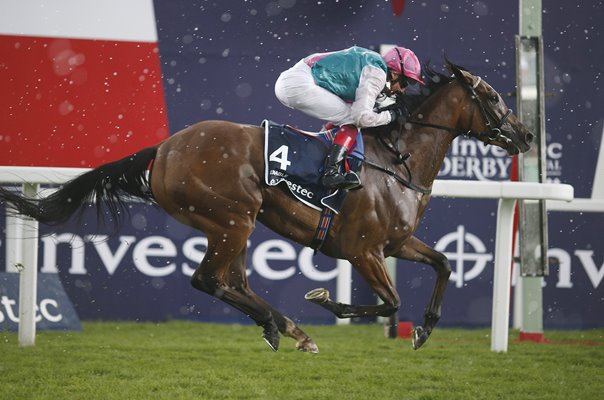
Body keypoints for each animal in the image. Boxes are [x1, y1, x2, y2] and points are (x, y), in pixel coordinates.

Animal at [0, 59, 532, 354]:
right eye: (491, 96)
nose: (526, 135)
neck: (396, 161)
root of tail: (165, 148)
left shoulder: (396, 243)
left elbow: (443, 263)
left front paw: (424, 329)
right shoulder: (363, 250)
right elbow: (390, 301)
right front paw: (327, 301)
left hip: (232, 222)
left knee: (230, 281)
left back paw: (285, 328)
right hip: (232, 217)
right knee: (208, 279)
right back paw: (288, 325)